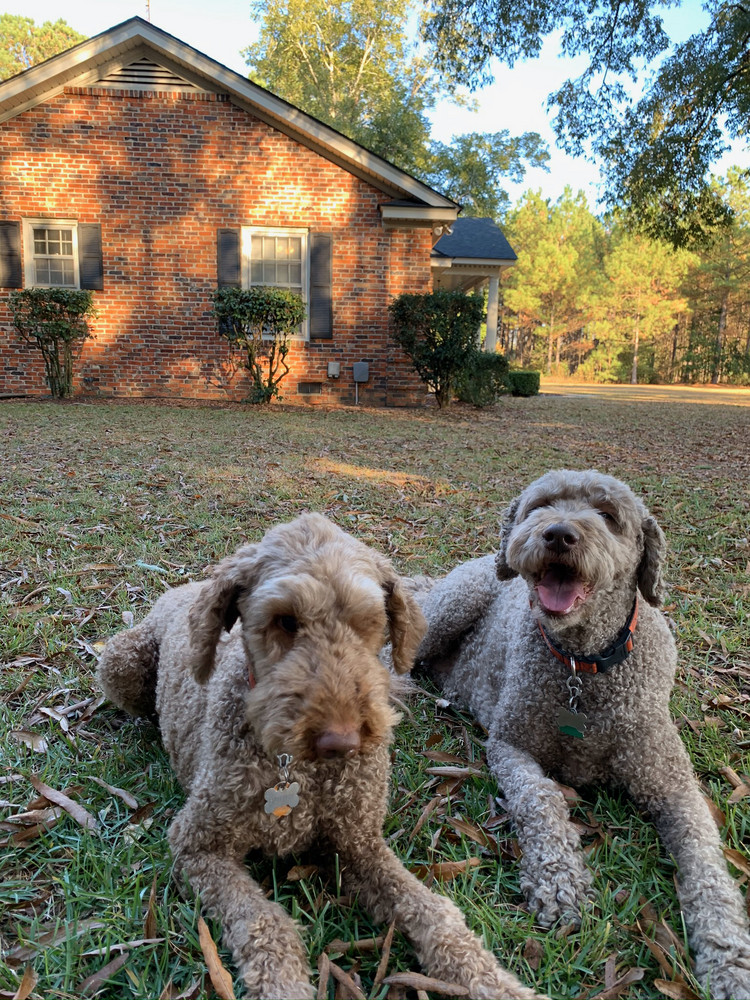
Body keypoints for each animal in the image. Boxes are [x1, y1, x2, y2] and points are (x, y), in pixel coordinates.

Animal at [98, 513, 542, 1000]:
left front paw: (493, 981)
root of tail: (182, 589)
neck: (298, 772)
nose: (341, 742)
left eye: (369, 621)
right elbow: (266, 923)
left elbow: (432, 910)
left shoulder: (359, 842)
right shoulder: (198, 843)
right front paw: (284, 985)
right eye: (285, 621)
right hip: (119, 664)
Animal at [414, 470, 750, 999]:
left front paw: (730, 959)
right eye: (541, 506)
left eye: (608, 516)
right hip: (455, 604)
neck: (582, 664)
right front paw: (559, 882)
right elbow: (541, 799)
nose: (558, 534)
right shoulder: (511, 745)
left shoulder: (673, 783)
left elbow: (706, 862)